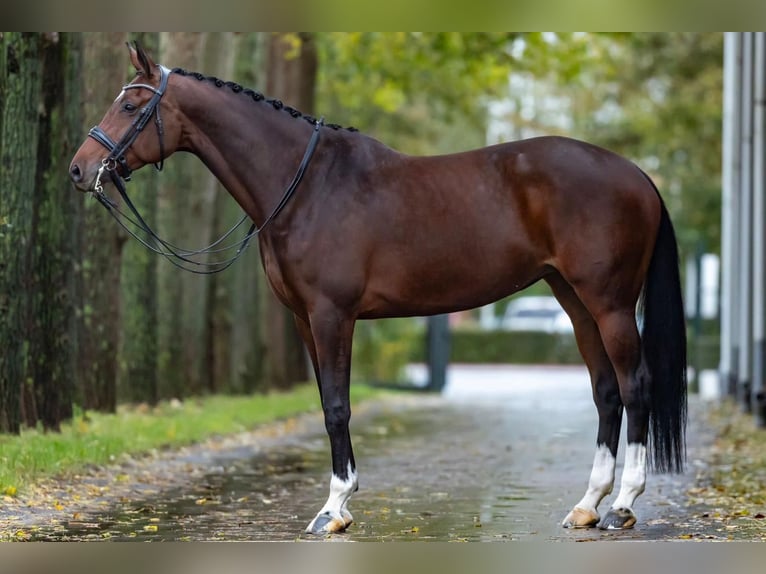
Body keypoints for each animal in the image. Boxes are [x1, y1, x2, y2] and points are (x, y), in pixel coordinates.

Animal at [69, 42, 688, 536]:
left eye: (130, 106)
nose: (79, 168)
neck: (306, 185)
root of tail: (637, 174)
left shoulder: (332, 315)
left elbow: (338, 407)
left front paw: (334, 508)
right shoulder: (303, 319)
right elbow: (326, 402)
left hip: (609, 303)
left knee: (635, 386)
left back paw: (623, 505)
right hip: (575, 302)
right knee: (606, 392)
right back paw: (587, 505)